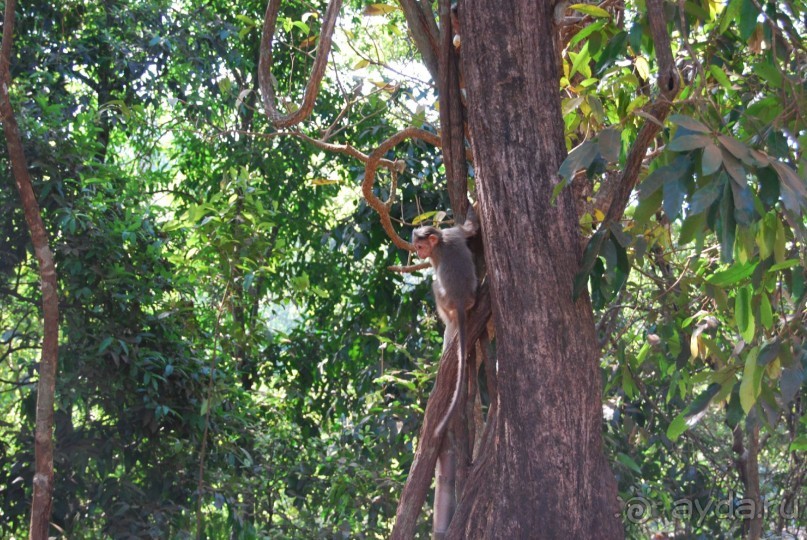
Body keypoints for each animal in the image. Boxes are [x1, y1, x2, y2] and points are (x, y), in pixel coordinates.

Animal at [414, 217, 476, 436]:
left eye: (420, 247)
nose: (418, 254)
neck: (440, 240)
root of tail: (459, 299)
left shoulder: (443, 242)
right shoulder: (453, 233)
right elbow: (471, 230)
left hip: (445, 300)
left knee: (434, 286)